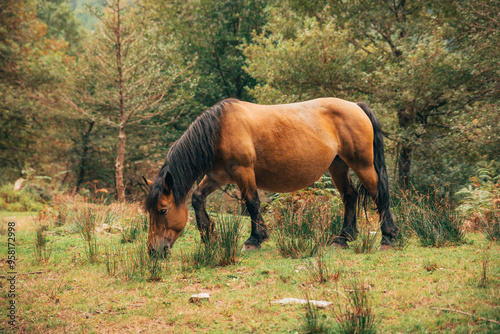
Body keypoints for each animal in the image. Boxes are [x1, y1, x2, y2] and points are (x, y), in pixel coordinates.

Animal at [144, 98, 398, 254]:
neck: (219, 130)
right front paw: (208, 235)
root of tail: (356, 105)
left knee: (379, 195)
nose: (154, 251)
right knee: (350, 196)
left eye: (163, 210)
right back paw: (343, 238)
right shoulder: (218, 177)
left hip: (363, 164)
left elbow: (252, 203)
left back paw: (388, 238)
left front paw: (254, 239)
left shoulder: (243, 172)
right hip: (338, 167)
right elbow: (197, 198)